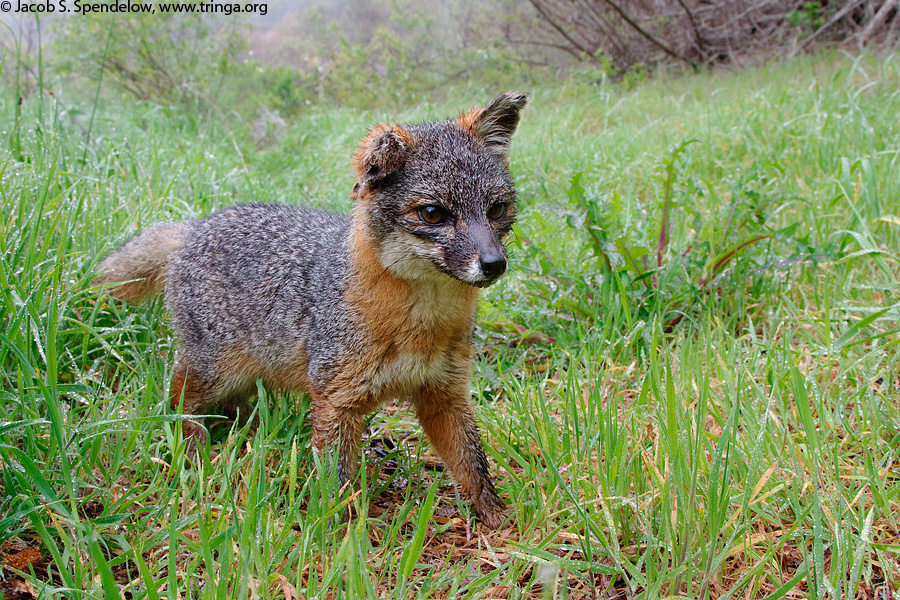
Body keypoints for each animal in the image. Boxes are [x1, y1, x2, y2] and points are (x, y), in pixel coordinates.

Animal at [91, 91, 528, 528]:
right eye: (433, 213)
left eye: (497, 209)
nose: (494, 264)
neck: (420, 327)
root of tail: (194, 227)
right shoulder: (337, 401)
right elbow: (336, 482)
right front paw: (342, 534)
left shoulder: (445, 393)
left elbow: (472, 464)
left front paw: (499, 520)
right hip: (213, 368)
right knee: (178, 399)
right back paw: (195, 447)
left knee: (236, 407)